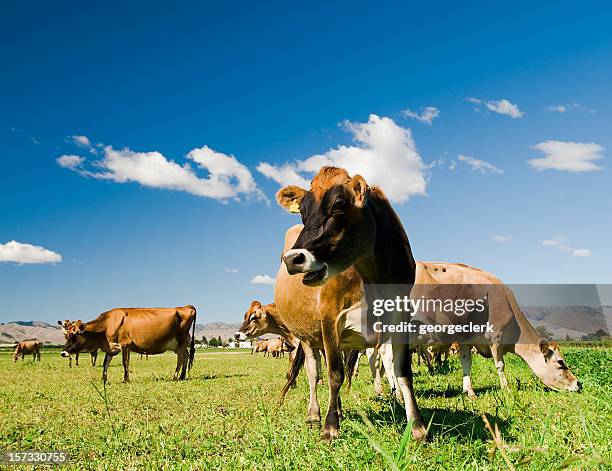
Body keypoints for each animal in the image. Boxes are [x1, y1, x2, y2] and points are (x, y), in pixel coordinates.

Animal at [59, 306, 196, 384]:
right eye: (66, 335)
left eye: (74, 336)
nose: (63, 352)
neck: (106, 325)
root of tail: (186, 307)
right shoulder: (111, 348)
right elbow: (105, 363)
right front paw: (104, 380)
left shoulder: (125, 345)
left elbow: (125, 362)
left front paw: (125, 379)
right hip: (178, 344)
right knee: (186, 356)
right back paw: (183, 376)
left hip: (181, 340)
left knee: (180, 358)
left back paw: (175, 376)